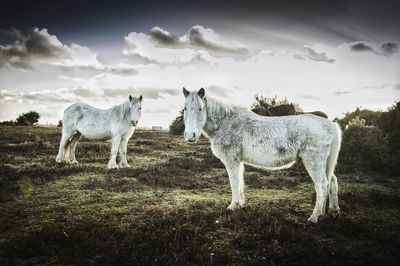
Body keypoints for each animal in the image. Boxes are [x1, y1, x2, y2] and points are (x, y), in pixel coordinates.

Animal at [181, 88, 340, 223]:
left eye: (200, 108)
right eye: (185, 108)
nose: (190, 136)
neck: (226, 122)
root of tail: (330, 125)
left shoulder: (232, 161)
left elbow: (234, 182)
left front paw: (233, 206)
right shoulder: (238, 161)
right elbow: (240, 182)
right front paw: (240, 204)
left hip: (314, 162)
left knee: (322, 185)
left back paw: (314, 217)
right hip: (325, 164)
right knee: (332, 182)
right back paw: (332, 211)